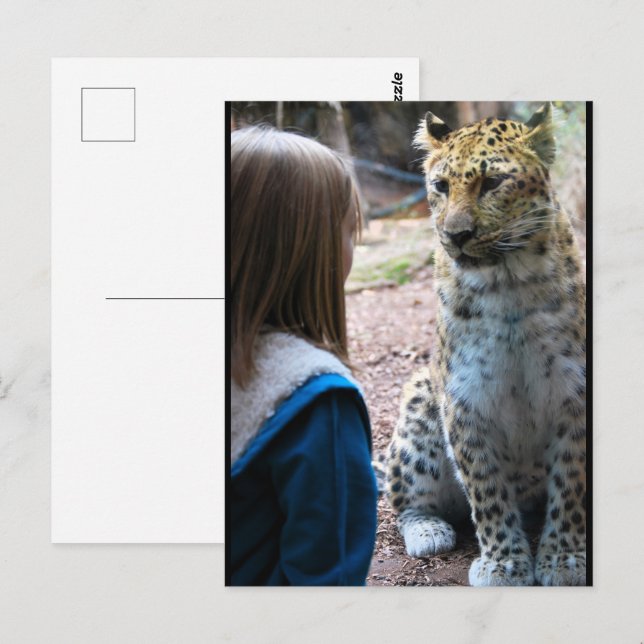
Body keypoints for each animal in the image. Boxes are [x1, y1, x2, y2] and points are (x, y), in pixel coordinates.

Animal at [385, 103, 587, 586]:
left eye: (492, 183)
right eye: (440, 186)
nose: (455, 235)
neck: (506, 282)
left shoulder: (573, 390)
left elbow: (570, 480)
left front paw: (563, 557)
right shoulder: (465, 396)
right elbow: (485, 485)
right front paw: (504, 563)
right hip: (419, 401)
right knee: (404, 499)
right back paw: (428, 531)